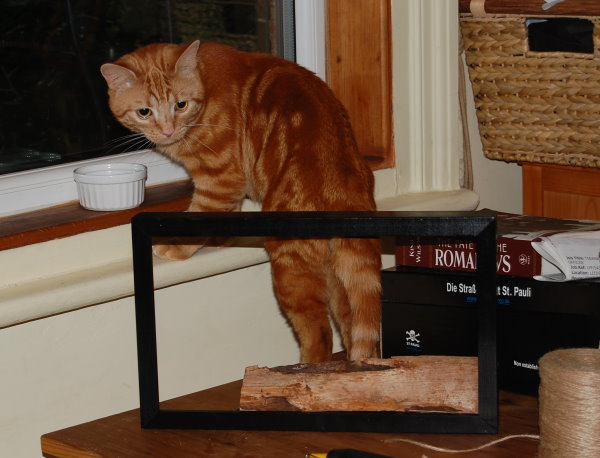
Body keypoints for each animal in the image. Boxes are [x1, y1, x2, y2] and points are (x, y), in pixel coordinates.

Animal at [100, 40, 381, 363]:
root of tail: (345, 186)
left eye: (180, 105)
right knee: (355, 332)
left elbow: (200, 215)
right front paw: (219, 239)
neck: (205, 88)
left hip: (290, 264)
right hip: (339, 279)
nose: (168, 130)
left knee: (319, 334)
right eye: (144, 111)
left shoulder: (220, 178)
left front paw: (176, 247)